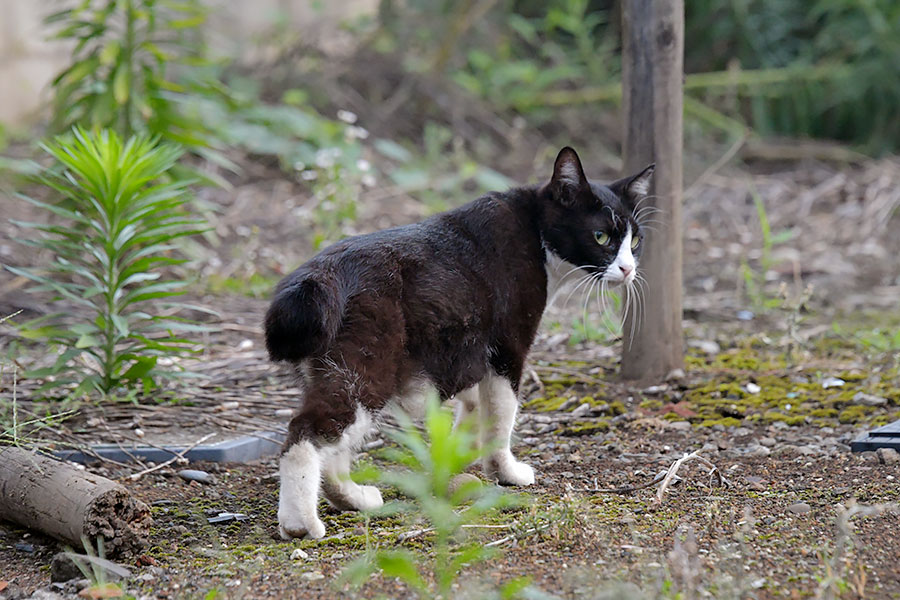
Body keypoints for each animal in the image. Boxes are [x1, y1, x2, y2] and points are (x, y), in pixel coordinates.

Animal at [264, 146, 652, 540]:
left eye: (635, 241)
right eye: (601, 236)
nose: (628, 270)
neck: (536, 233)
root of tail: (318, 277)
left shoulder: (467, 351)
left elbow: (472, 407)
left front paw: (456, 457)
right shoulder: (507, 349)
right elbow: (501, 417)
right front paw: (506, 472)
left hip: (337, 370)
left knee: (334, 445)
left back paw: (353, 497)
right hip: (367, 368)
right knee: (305, 435)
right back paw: (301, 523)